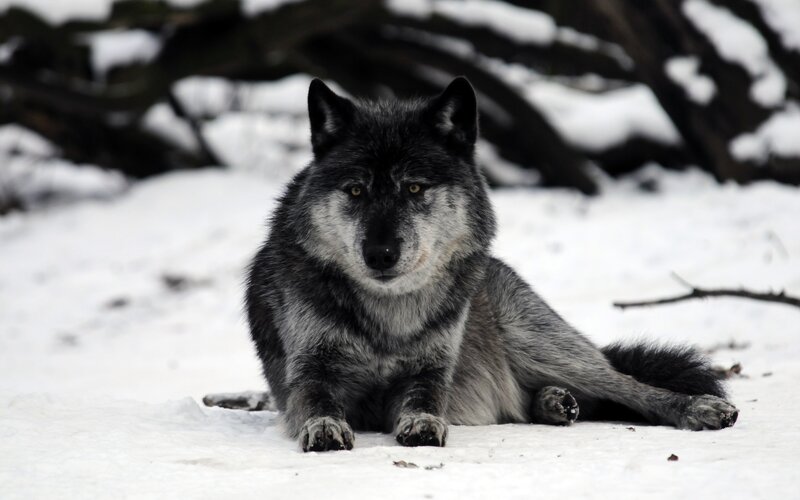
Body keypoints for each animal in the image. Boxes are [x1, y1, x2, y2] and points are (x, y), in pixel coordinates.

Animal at [243, 77, 738, 452]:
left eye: (415, 188)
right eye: (355, 190)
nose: (380, 254)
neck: (391, 317)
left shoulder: (431, 372)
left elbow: (424, 400)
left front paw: (422, 424)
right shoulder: (308, 373)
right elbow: (318, 402)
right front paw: (324, 427)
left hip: (538, 342)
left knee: (626, 384)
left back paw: (696, 407)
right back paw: (554, 404)